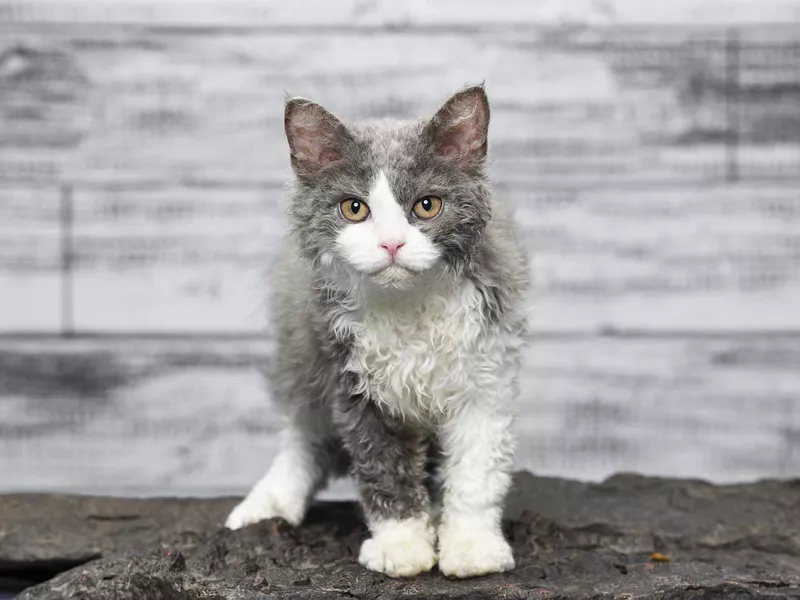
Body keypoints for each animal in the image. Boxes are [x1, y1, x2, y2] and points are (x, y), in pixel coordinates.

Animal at [222, 84, 528, 576]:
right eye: (354, 209)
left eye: (427, 206)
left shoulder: (486, 375)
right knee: (303, 435)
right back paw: (268, 501)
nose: (391, 244)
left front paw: (472, 546)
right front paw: (401, 545)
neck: (409, 306)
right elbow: (383, 467)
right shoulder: (352, 380)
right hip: (300, 351)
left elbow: (476, 472)